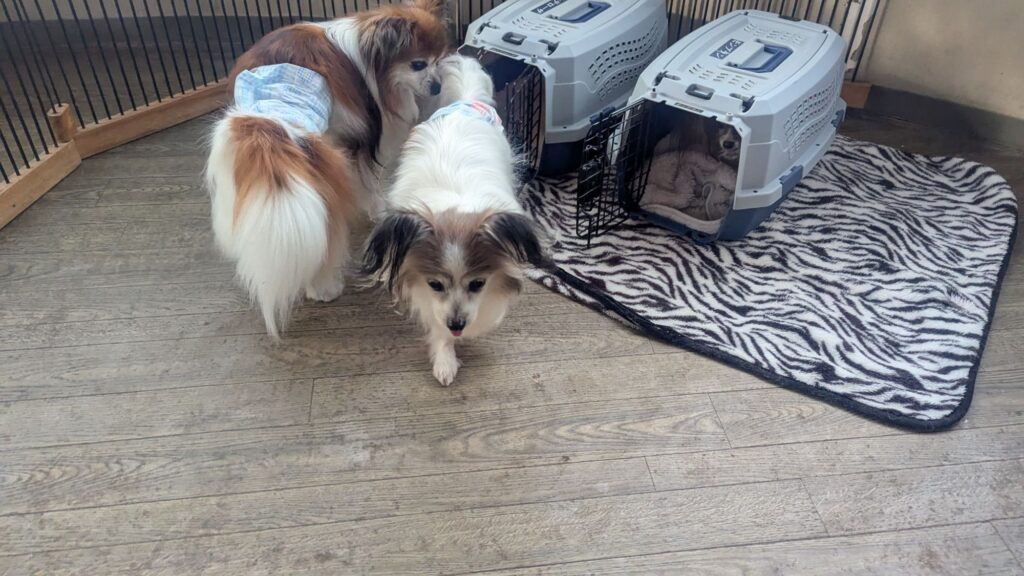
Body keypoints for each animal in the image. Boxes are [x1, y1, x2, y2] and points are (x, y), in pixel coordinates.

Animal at [205, 0, 449, 338]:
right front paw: (379, 209)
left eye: (439, 60)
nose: (438, 85)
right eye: (418, 65)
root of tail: (270, 121)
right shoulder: (358, 143)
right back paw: (324, 288)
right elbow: (370, 184)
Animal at [362, 55, 551, 386]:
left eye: (478, 284)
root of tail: (465, 99)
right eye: (435, 284)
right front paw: (445, 358)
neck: (453, 205)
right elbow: (435, 323)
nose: (457, 324)